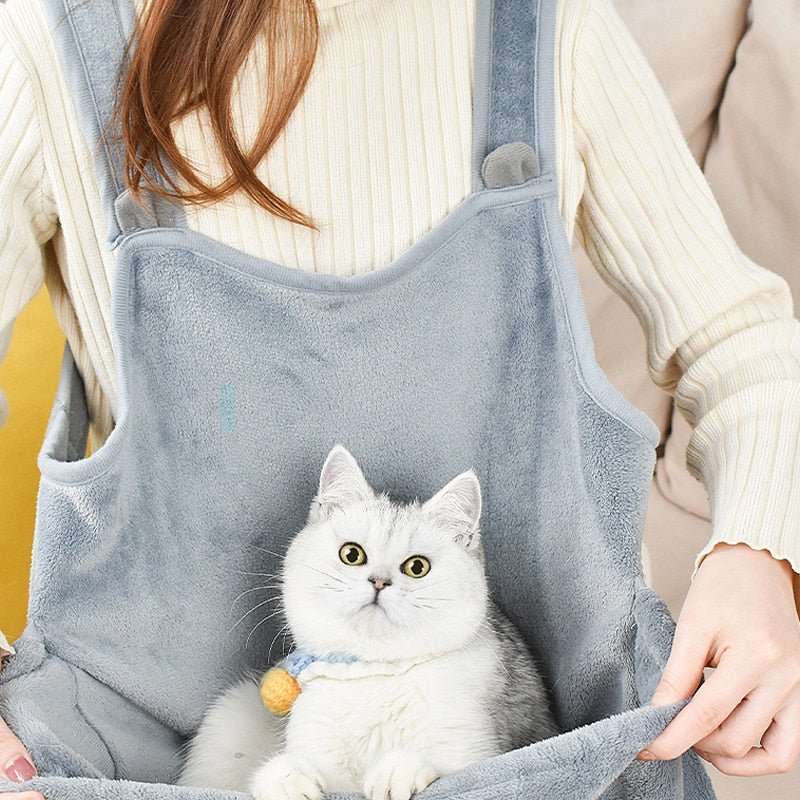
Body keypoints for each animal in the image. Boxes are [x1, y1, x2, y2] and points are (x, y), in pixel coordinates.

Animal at [178, 444, 560, 800]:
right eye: (352, 554)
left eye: (417, 567)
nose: (379, 581)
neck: (374, 674)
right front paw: (288, 780)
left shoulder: (477, 750)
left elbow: (450, 768)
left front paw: (398, 772)